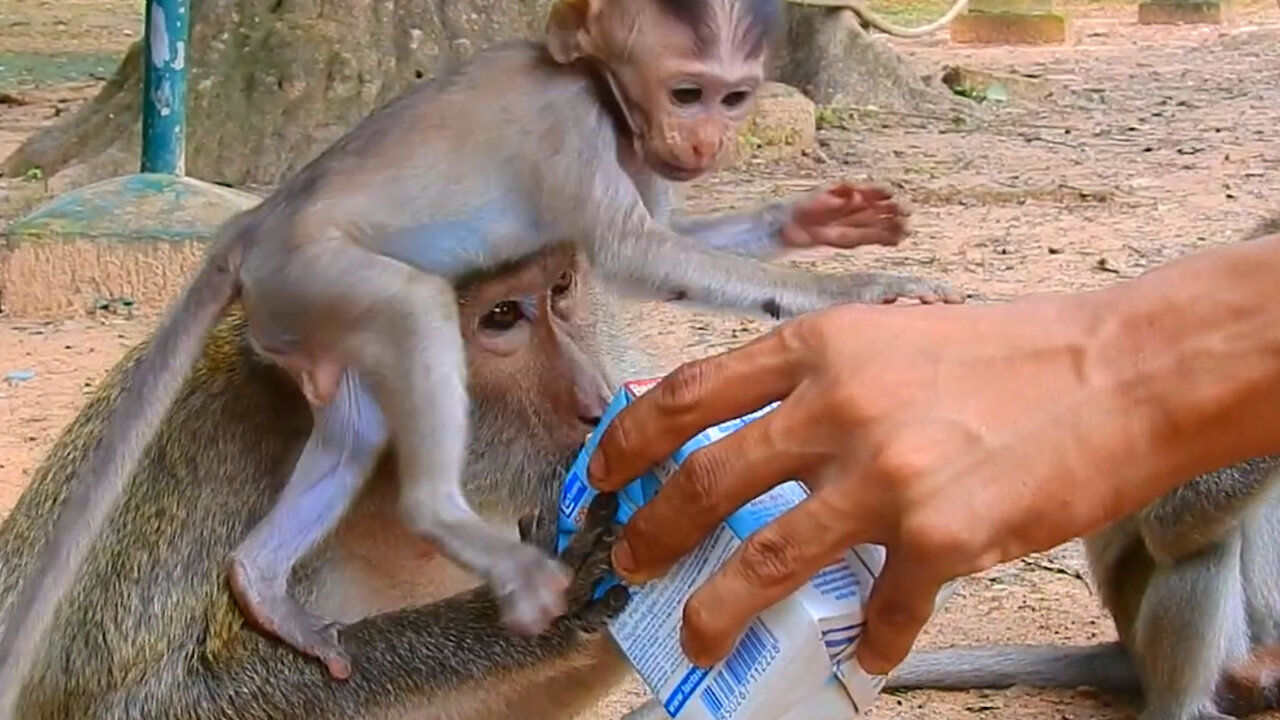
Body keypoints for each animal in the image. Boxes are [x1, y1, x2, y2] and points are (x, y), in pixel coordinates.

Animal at [0, 243, 655, 712]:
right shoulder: (199, 454)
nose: (596, 401)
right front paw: (516, 614)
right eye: (501, 316)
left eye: (561, 288)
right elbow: (140, 702)